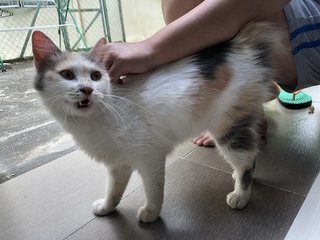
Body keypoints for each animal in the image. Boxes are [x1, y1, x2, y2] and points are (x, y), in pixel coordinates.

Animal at [32, 22, 282, 223]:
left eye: (96, 76)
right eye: (67, 75)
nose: (87, 89)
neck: (96, 119)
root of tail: (240, 44)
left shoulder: (150, 156)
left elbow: (153, 189)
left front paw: (151, 213)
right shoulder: (118, 165)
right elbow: (114, 190)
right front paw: (106, 207)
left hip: (227, 127)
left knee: (247, 160)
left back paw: (240, 195)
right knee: (251, 154)